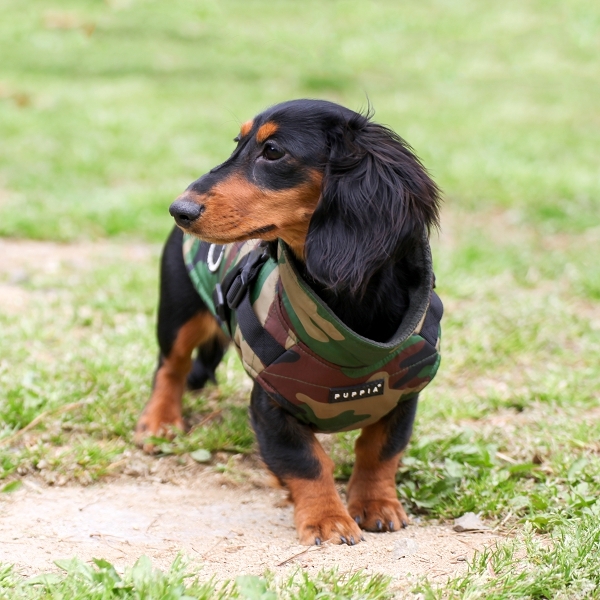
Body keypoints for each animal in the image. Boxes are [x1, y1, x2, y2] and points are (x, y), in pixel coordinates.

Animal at [135, 101, 440, 548]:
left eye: (273, 151)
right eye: (238, 141)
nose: (179, 210)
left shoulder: (403, 396)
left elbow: (379, 451)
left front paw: (376, 505)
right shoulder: (271, 401)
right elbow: (307, 461)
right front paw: (328, 519)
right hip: (177, 313)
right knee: (169, 367)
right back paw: (159, 422)